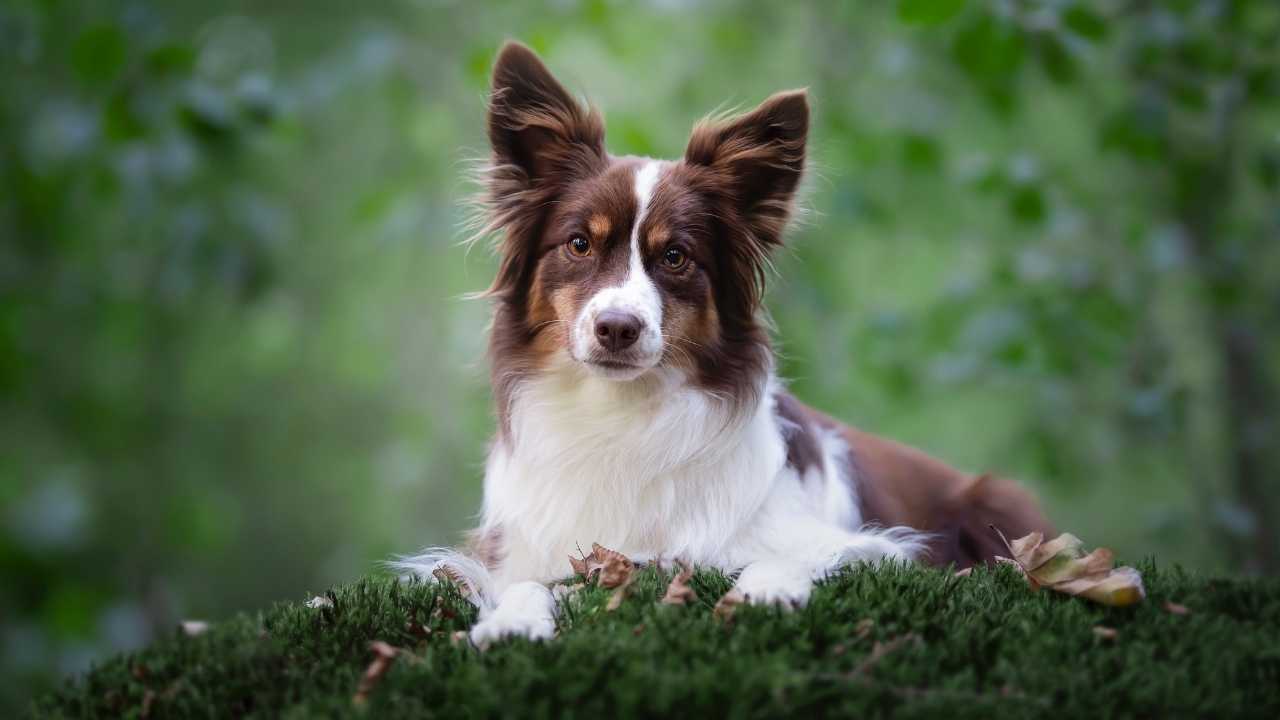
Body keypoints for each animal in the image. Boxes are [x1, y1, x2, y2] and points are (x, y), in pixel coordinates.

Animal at [399, 41, 1049, 640]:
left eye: (676, 257)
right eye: (579, 244)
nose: (617, 329)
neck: (620, 414)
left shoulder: (870, 546)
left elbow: (778, 557)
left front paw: (765, 591)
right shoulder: (513, 551)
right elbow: (522, 582)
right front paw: (513, 621)